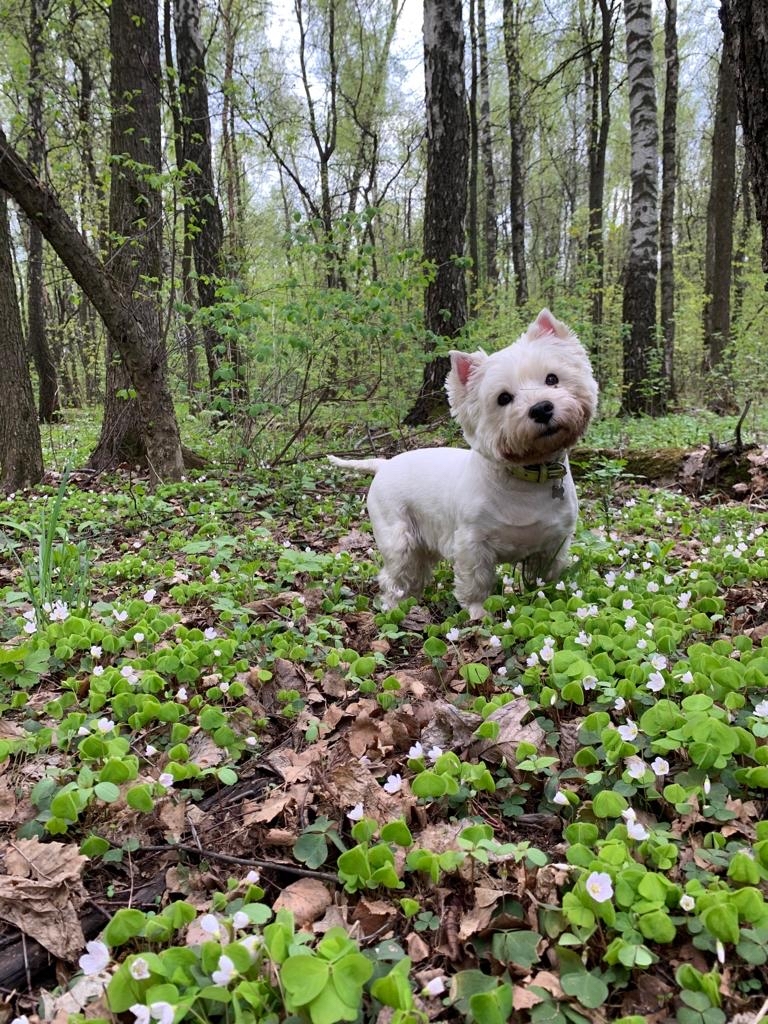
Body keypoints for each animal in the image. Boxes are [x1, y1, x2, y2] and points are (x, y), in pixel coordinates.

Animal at [327, 309, 598, 614]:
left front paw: (548, 598)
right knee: (395, 574)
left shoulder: (553, 542)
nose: (541, 409)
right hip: (397, 534)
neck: (528, 475)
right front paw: (478, 612)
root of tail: (384, 464)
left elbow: (545, 577)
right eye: (504, 398)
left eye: (552, 379)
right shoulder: (472, 542)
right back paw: (394, 607)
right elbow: (476, 580)